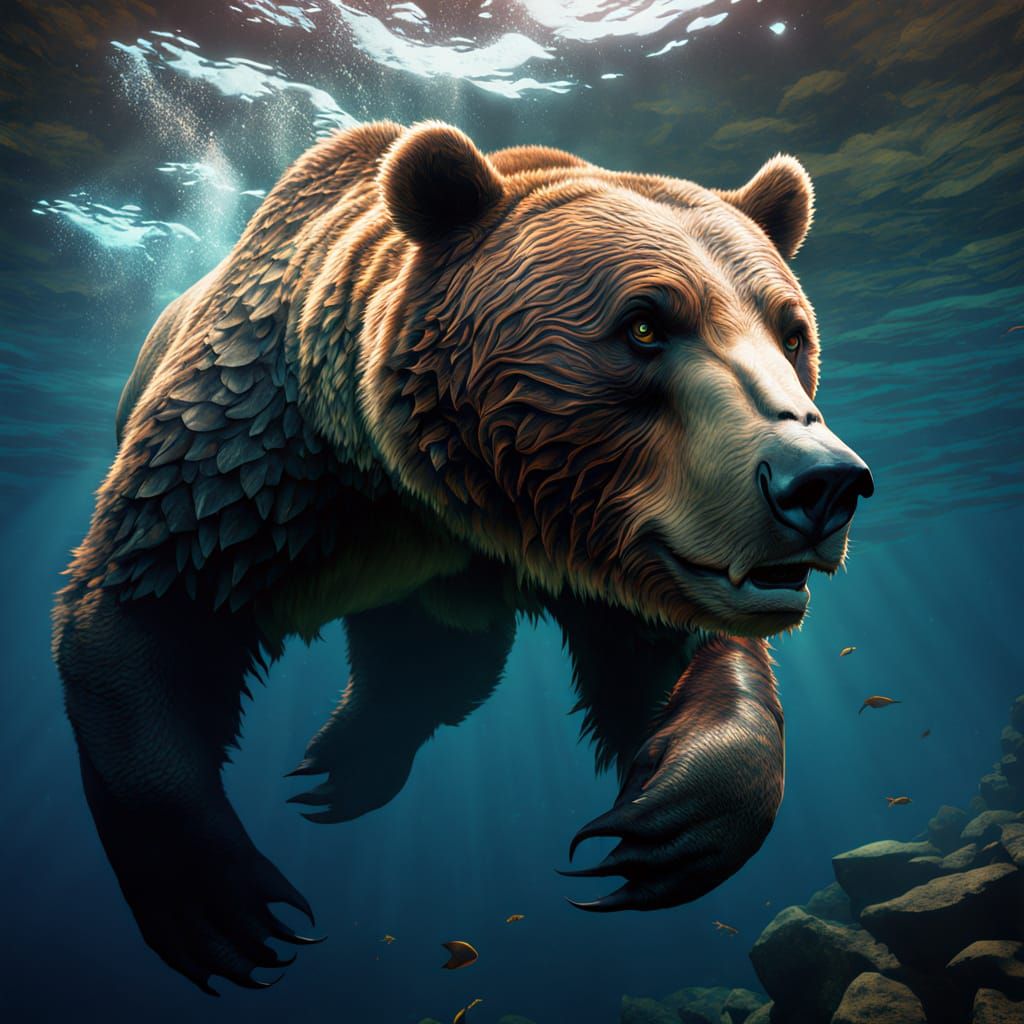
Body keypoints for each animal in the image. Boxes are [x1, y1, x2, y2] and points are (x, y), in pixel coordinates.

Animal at [53, 121, 873, 993]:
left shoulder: (618, 551)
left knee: (437, 661)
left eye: (792, 332)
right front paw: (225, 905)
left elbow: (677, 663)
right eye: (645, 325)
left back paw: (347, 762)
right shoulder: (251, 469)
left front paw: (668, 822)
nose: (820, 482)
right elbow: (144, 613)